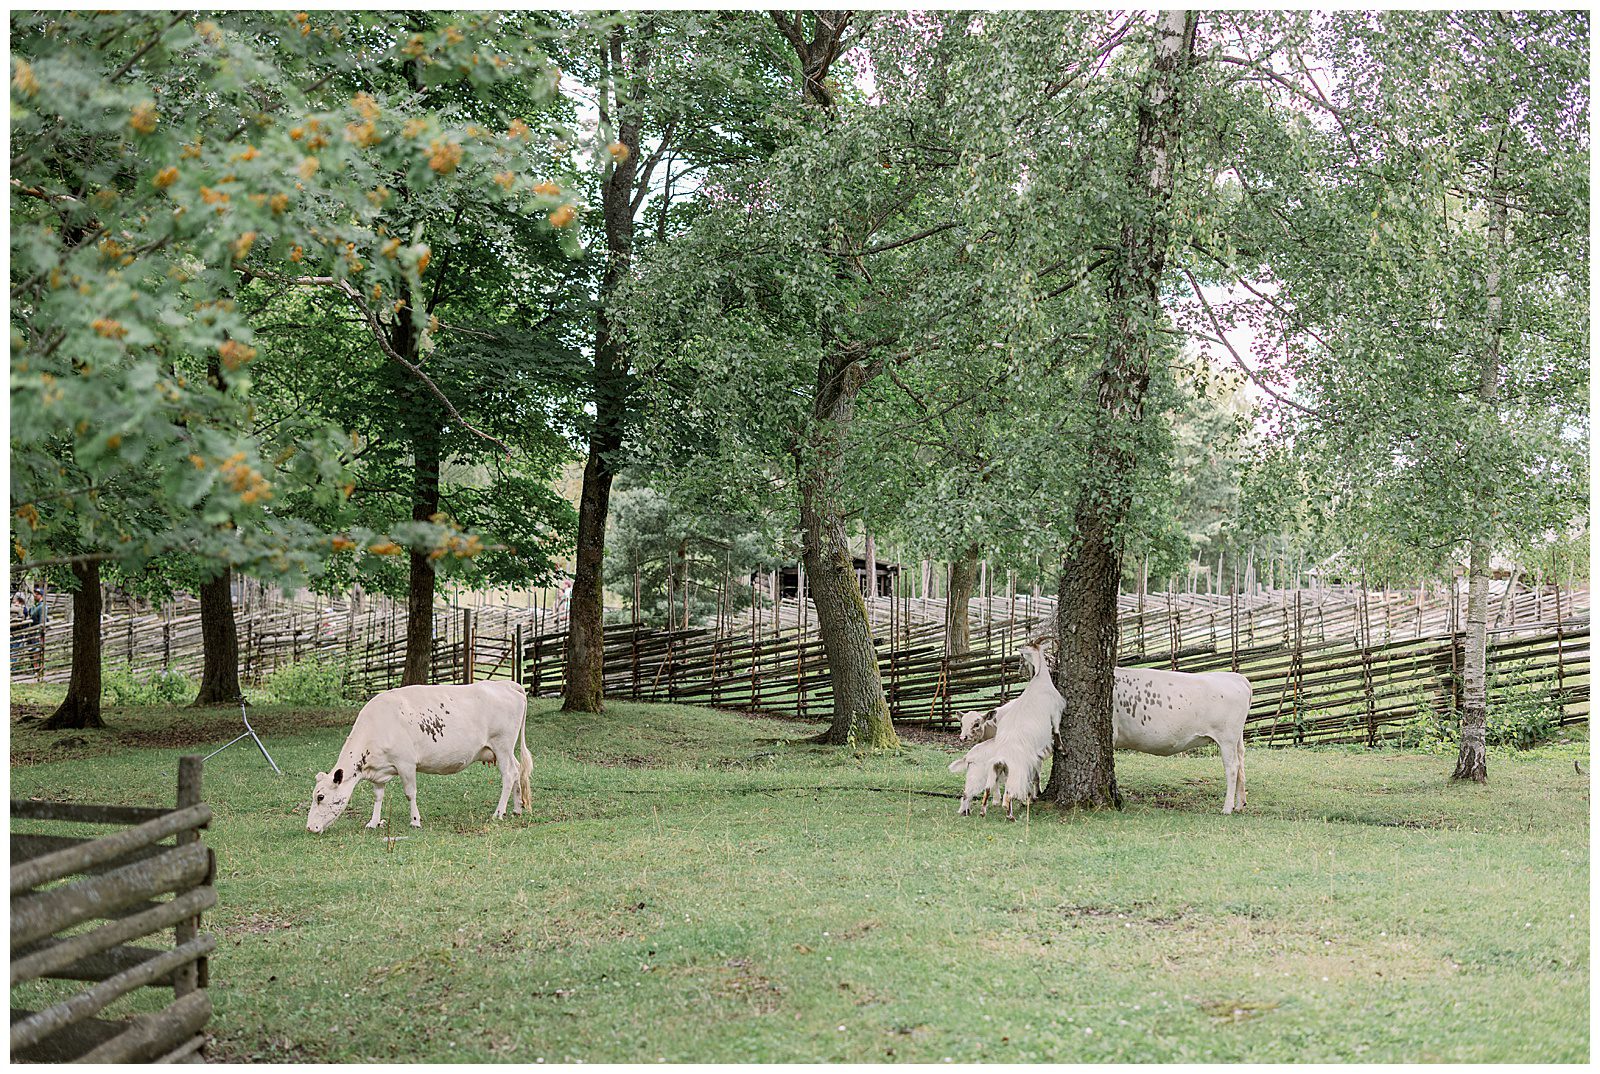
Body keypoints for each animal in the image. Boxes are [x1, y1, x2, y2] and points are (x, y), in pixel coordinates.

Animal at [308, 685, 534, 838]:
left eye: (320, 797)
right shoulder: (379, 773)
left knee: (509, 774)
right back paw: (517, 808)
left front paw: (415, 821)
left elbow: (410, 793)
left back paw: (499, 812)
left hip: (502, 745)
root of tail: (506, 684)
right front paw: (373, 822)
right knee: (518, 770)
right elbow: (378, 796)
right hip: (505, 749)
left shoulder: (406, 764)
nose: (310, 827)